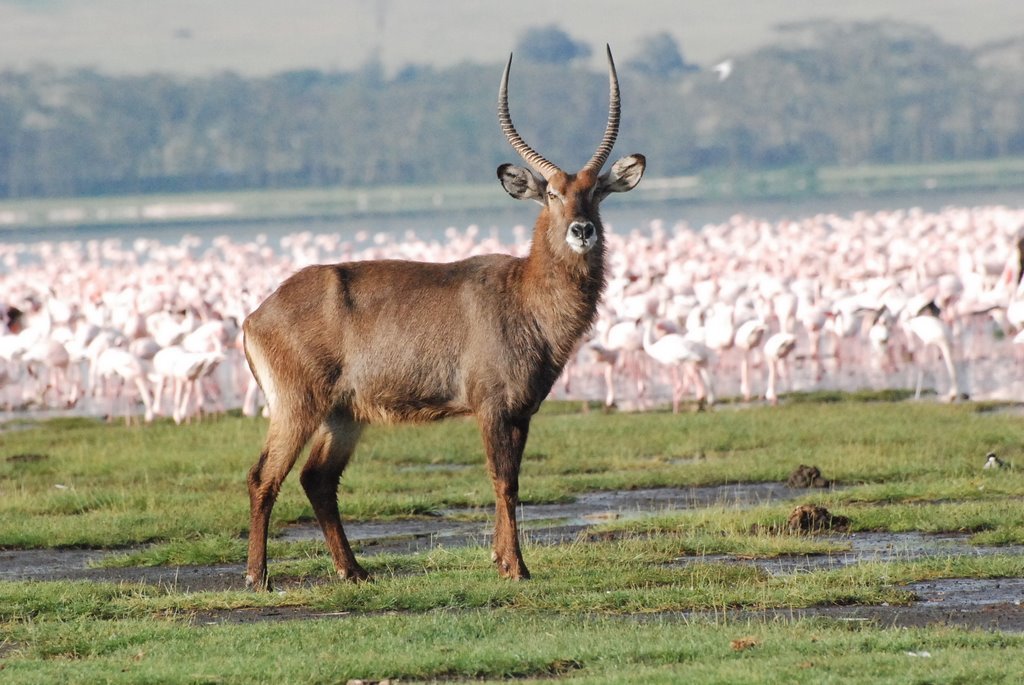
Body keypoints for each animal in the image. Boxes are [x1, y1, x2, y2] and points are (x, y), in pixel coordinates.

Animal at [237, 46, 647, 589]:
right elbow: (502, 480)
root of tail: (255, 315)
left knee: (317, 479)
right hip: (296, 406)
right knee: (264, 476)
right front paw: (515, 566)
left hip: (343, 414)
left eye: (596, 192)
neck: (525, 294)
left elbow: (512, 482)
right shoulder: (492, 406)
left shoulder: (522, 412)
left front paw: (503, 559)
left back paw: (354, 570)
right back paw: (258, 577)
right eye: (552, 193)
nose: (582, 230)